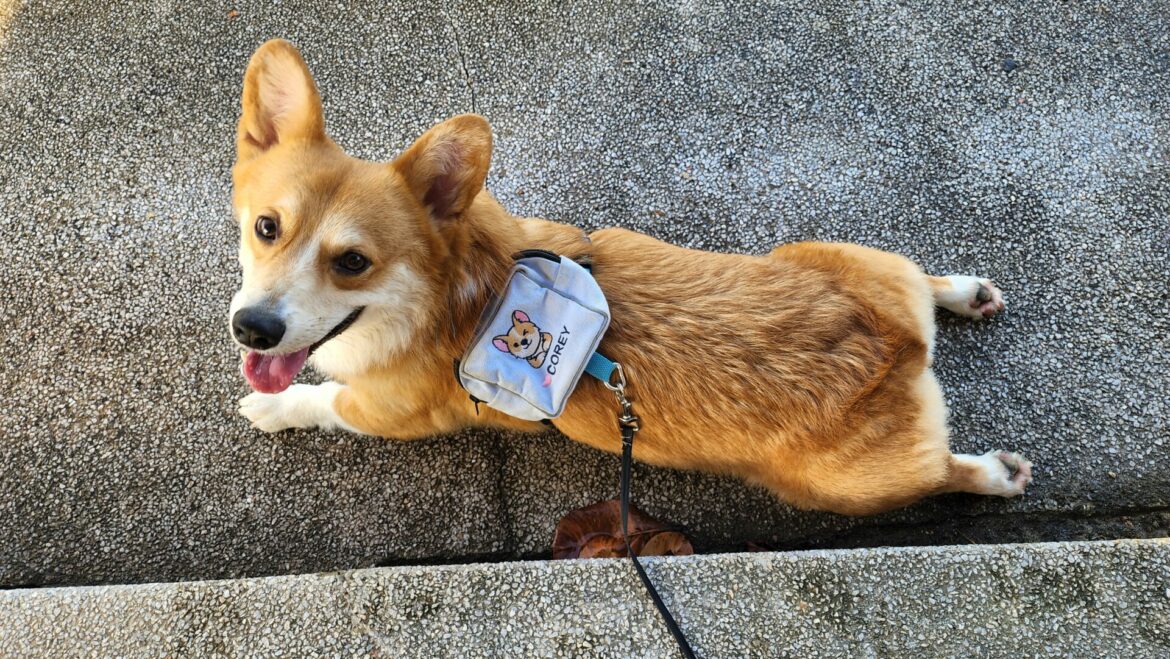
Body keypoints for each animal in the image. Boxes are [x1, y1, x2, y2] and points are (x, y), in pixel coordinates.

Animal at [231, 40, 1032, 515]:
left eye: (353, 262)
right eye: (267, 227)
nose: (252, 328)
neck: (444, 294)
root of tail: (900, 352)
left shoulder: (384, 412)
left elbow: (323, 398)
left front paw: (272, 408)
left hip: (845, 488)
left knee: (942, 473)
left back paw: (993, 472)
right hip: (838, 255)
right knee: (916, 279)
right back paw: (962, 292)